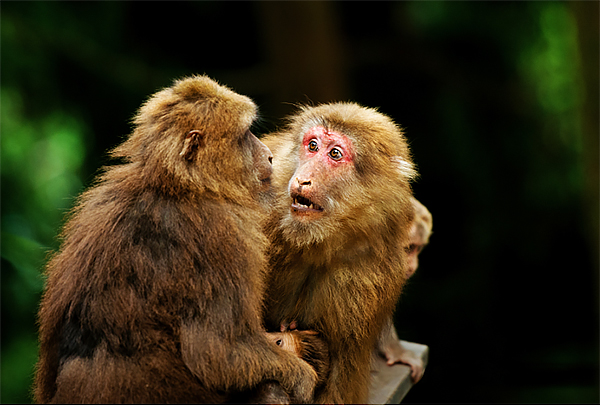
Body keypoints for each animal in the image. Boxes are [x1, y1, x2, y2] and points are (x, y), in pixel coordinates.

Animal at [34, 75, 318, 402]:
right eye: (246, 134)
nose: (269, 156)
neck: (177, 186)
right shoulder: (224, 234)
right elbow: (219, 353)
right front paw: (301, 375)